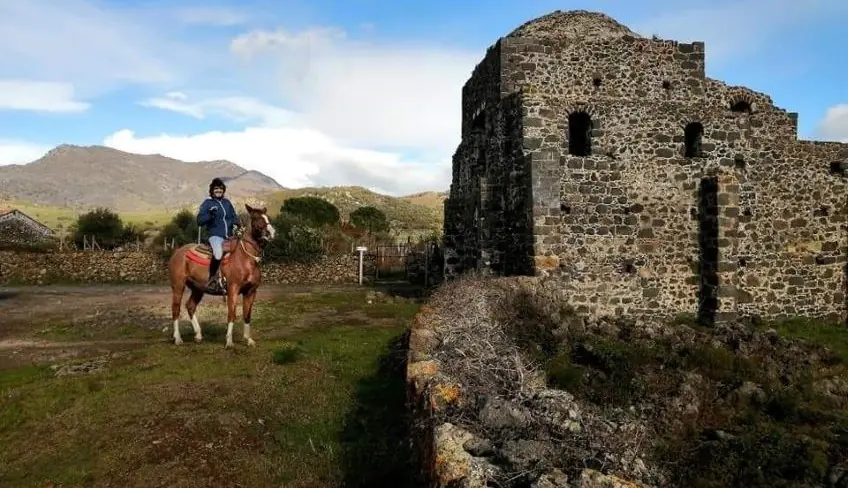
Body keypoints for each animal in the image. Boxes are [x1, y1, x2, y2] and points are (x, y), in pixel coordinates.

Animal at [167, 204, 276, 348]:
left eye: (267, 217)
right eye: (256, 219)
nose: (271, 233)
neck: (245, 258)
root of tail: (177, 252)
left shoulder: (251, 292)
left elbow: (247, 315)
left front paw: (248, 340)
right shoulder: (233, 290)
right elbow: (232, 314)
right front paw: (229, 341)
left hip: (198, 288)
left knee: (190, 306)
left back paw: (198, 335)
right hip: (178, 286)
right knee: (176, 309)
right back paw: (178, 338)